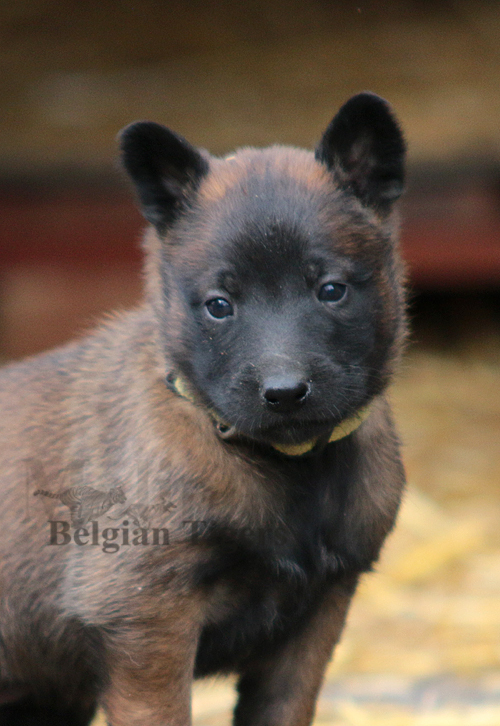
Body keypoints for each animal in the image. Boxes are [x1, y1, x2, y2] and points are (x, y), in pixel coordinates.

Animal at [0, 92, 407, 726]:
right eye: (219, 305)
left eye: (331, 291)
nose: (284, 392)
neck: (287, 468)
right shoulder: (146, 622)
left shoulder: (315, 620)